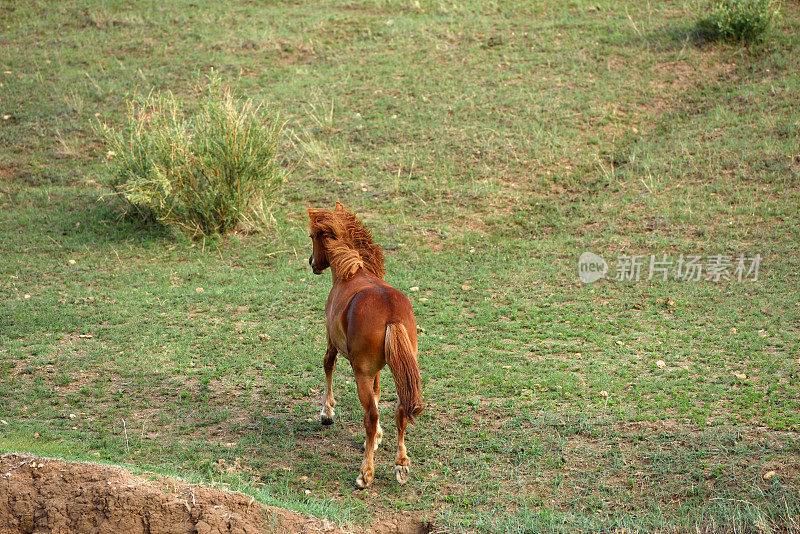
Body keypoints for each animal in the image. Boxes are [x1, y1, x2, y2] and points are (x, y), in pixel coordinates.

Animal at [308, 203, 424, 492]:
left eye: (311, 237)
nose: (312, 263)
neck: (352, 272)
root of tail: (391, 313)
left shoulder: (332, 342)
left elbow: (328, 365)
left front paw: (327, 412)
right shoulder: (379, 369)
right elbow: (379, 393)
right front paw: (378, 438)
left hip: (360, 372)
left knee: (370, 414)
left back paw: (365, 474)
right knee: (401, 411)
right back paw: (401, 465)